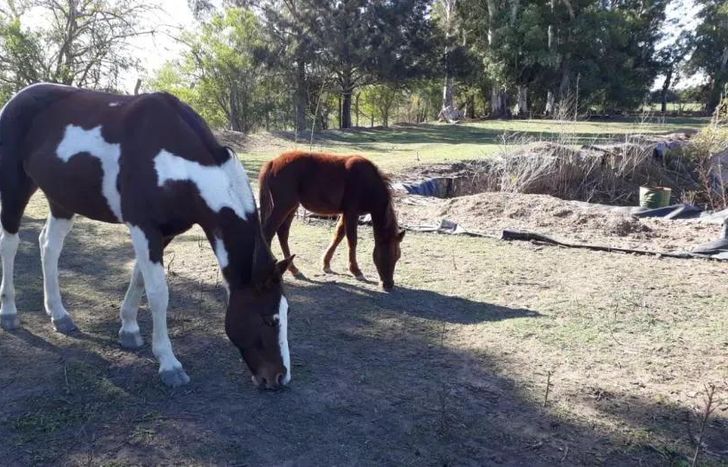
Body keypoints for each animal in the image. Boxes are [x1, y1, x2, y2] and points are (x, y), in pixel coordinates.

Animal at [0, 83, 293, 389]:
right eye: (269, 319)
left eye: (285, 314)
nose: (280, 376)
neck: (176, 162)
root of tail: (16, 101)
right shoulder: (144, 228)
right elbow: (158, 293)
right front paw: (169, 364)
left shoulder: (163, 234)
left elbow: (139, 278)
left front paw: (129, 330)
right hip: (14, 188)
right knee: (9, 244)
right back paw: (9, 312)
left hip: (62, 202)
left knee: (49, 246)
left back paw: (59, 315)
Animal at [259, 150, 405, 291]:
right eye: (387, 254)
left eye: (398, 256)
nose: (388, 284)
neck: (367, 182)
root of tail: (273, 162)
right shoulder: (352, 212)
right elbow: (352, 240)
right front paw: (356, 271)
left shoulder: (345, 213)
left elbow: (338, 235)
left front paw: (326, 264)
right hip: (284, 206)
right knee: (268, 232)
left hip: (292, 206)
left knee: (282, 233)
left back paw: (294, 269)